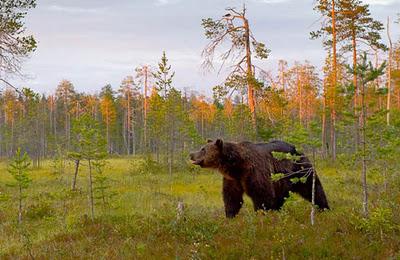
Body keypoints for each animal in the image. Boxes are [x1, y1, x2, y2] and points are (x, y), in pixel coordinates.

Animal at [189, 139, 330, 218]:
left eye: (203, 149)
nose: (191, 154)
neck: (236, 165)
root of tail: (298, 149)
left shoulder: (255, 171)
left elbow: (262, 194)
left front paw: (261, 214)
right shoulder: (233, 179)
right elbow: (232, 197)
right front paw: (230, 215)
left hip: (300, 170)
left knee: (313, 188)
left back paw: (324, 208)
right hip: (282, 179)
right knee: (281, 196)